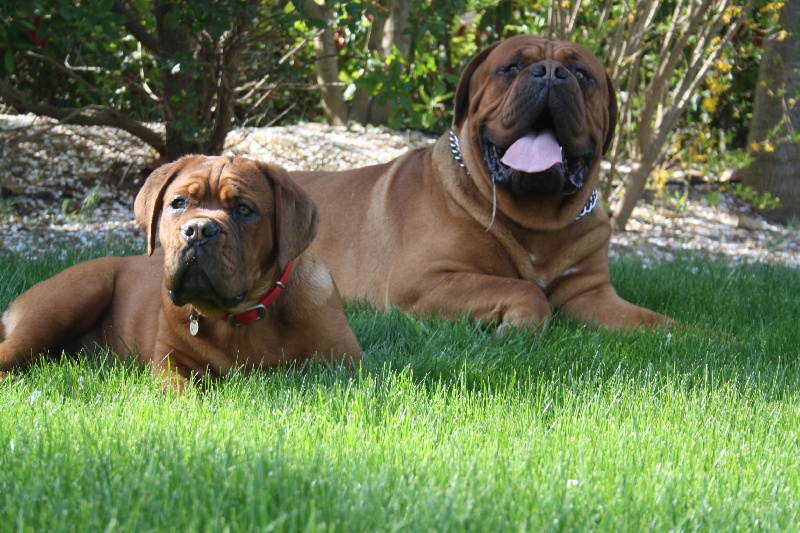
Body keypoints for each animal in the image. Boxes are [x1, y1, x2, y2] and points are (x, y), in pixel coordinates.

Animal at [0, 154, 362, 386]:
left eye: (244, 209)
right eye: (178, 203)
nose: (199, 230)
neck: (240, 318)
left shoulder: (346, 362)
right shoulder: (169, 362)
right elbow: (182, 391)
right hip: (73, 296)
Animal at [290, 35, 672, 330]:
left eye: (582, 74)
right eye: (512, 67)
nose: (551, 72)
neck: (539, 222)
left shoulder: (592, 293)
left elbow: (660, 323)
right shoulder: (424, 281)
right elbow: (525, 289)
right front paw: (521, 322)